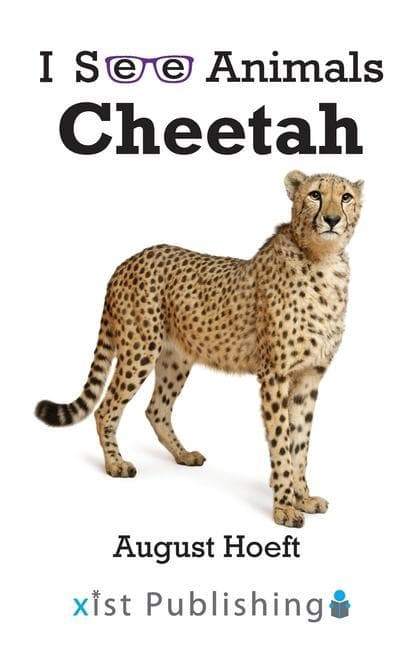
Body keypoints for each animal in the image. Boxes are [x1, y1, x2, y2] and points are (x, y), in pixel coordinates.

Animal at [35, 170, 363, 527]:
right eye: (315, 194)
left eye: (345, 197)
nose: (332, 219)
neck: (322, 260)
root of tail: (128, 261)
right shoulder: (275, 375)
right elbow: (281, 442)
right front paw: (284, 507)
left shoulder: (309, 376)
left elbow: (300, 441)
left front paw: (303, 497)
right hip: (140, 349)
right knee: (106, 408)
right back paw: (115, 464)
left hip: (175, 358)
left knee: (156, 409)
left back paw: (183, 455)